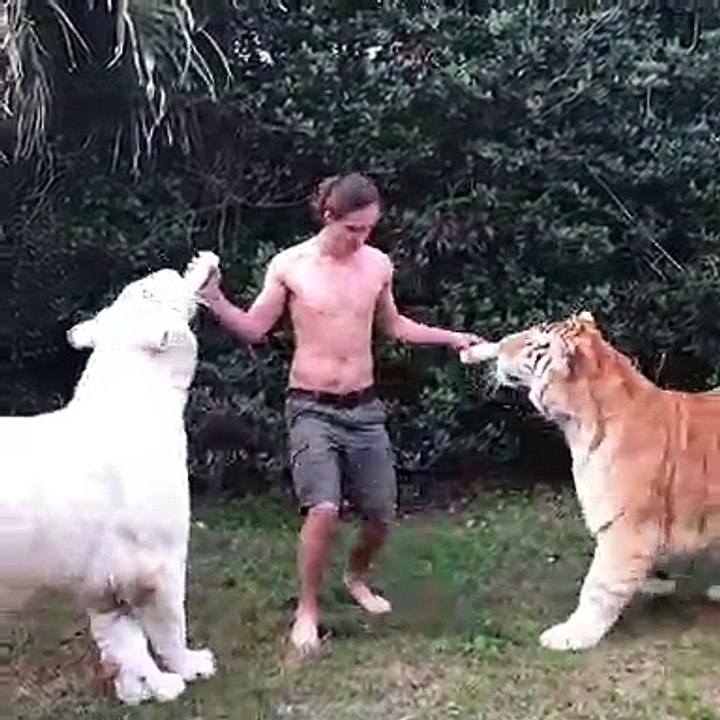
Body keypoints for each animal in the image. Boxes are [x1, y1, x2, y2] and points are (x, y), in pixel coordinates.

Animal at [460, 311, 720, 650]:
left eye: (534, 345)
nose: (500, 345)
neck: (579, 426)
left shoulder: (627, 527)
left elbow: (598, 586)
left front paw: (572, 634)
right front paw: (655, 583)